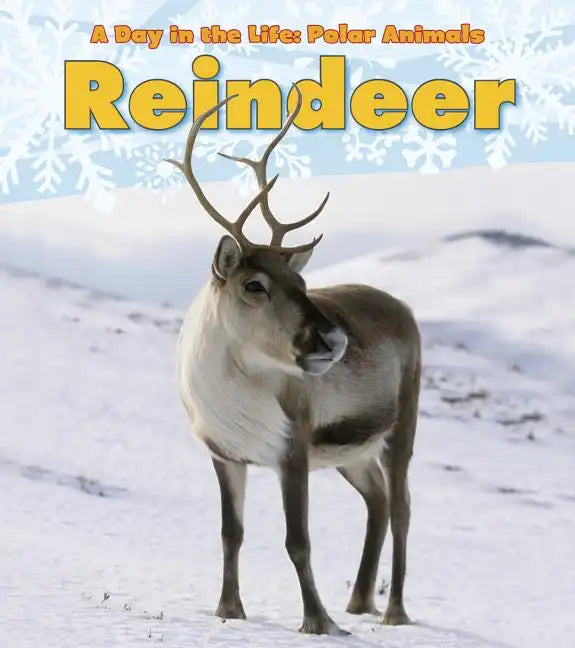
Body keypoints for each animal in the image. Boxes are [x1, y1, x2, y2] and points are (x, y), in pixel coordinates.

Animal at [170, 85, 421, 636]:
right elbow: (231, 533)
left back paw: (393, 611)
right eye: (254, 285)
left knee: (401, 507)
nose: (334, 338)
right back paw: (358, 601)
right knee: (376, 499)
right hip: (351, 453)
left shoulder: (294, 449)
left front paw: (319, 621)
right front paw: (229, 609)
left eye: (301, 282)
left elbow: (298, 541)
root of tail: (403, 307)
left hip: (400, 429)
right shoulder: (225, 454)